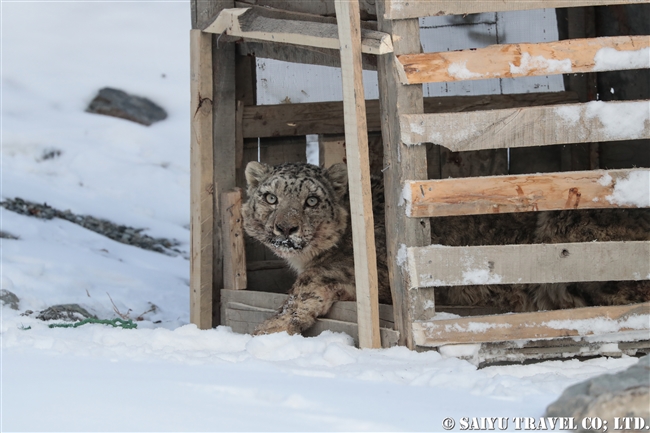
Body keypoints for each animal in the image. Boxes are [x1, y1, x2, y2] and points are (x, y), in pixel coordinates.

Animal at [244, 161, 648, 334]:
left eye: (311, 200)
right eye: (270, 197)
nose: (285, 227)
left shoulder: (358, 270)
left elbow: (307, 285)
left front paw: (268, 329)